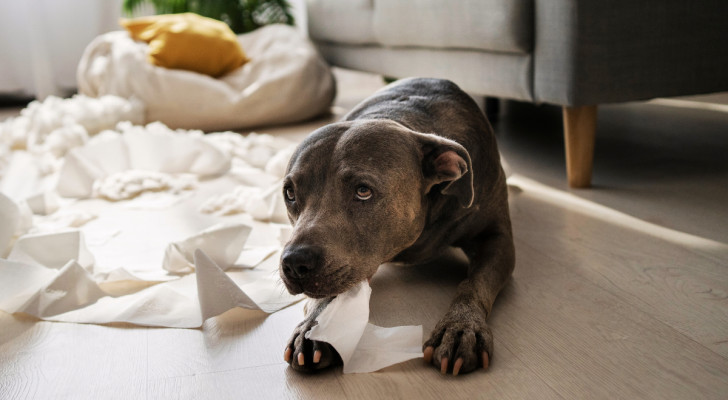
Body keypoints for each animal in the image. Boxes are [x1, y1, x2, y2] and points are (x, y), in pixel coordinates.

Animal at [278, 77, 512, 376]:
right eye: (290, 193)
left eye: (363, 191)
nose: (295, 263)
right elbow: (329, 295)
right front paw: (315, 328)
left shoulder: (496, 239)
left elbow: (474, 283)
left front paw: (461, 327)